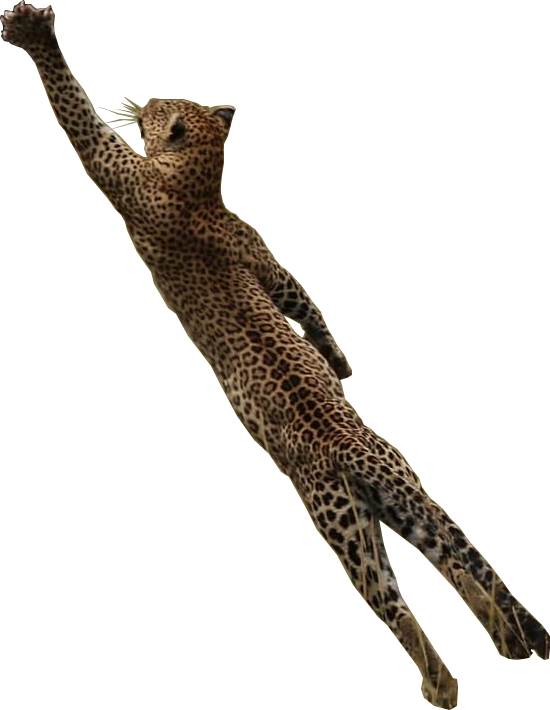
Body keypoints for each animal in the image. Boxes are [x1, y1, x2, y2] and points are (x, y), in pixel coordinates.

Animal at [2, 4, 548, 708]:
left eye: (159, 108)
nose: (144, 104)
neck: (199, 181)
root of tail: (352, 449)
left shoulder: (115, 169)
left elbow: (77, 114)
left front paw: (38, 38)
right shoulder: (256, 248)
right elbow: (295, 293)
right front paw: (337, 361)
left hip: (341, 523)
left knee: (406, 607)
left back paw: (460, 674)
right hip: (390, 505)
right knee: (452, 562)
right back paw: (504, 642)